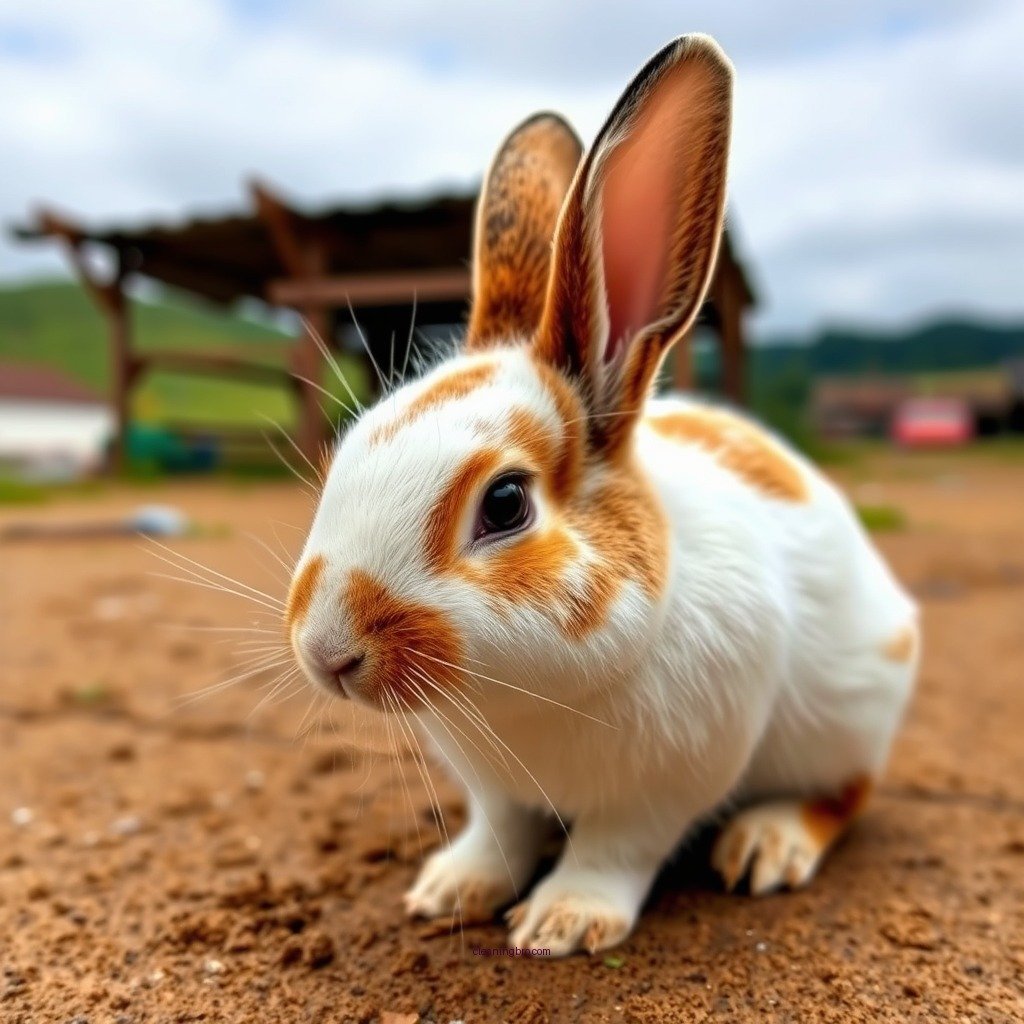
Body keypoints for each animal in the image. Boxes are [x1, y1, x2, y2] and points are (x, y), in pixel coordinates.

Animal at [285, 34, 919, 957]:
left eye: (505, 504)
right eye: (352, 446)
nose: (326, 652)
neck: (524, 697)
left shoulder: (667, 782)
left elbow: (615, 849)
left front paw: (564, 922)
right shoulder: (496, 791)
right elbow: (499, 835)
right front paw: (449, 890)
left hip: (853, 719)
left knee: (847, 793)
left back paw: (766, 845)